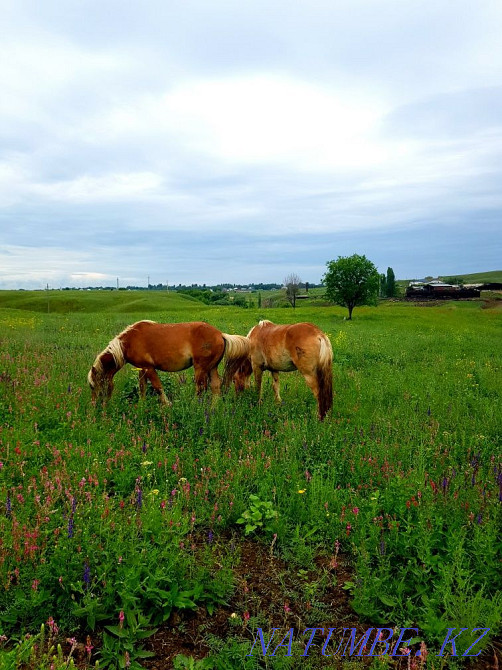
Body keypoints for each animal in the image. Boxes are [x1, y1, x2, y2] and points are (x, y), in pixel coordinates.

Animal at [88, 320, 250, 404]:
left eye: (94, 385)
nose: (95, 405)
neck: (127, 343)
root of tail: (220, 334)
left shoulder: (149, 368)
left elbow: (158, 387)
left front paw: (167, 405)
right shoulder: (142, 369)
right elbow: (142, 388)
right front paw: (142, 404)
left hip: (201, 368)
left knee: (200, 388)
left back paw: (194, 406)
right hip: (211, 367)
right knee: (216, 386)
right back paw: (214, 408)